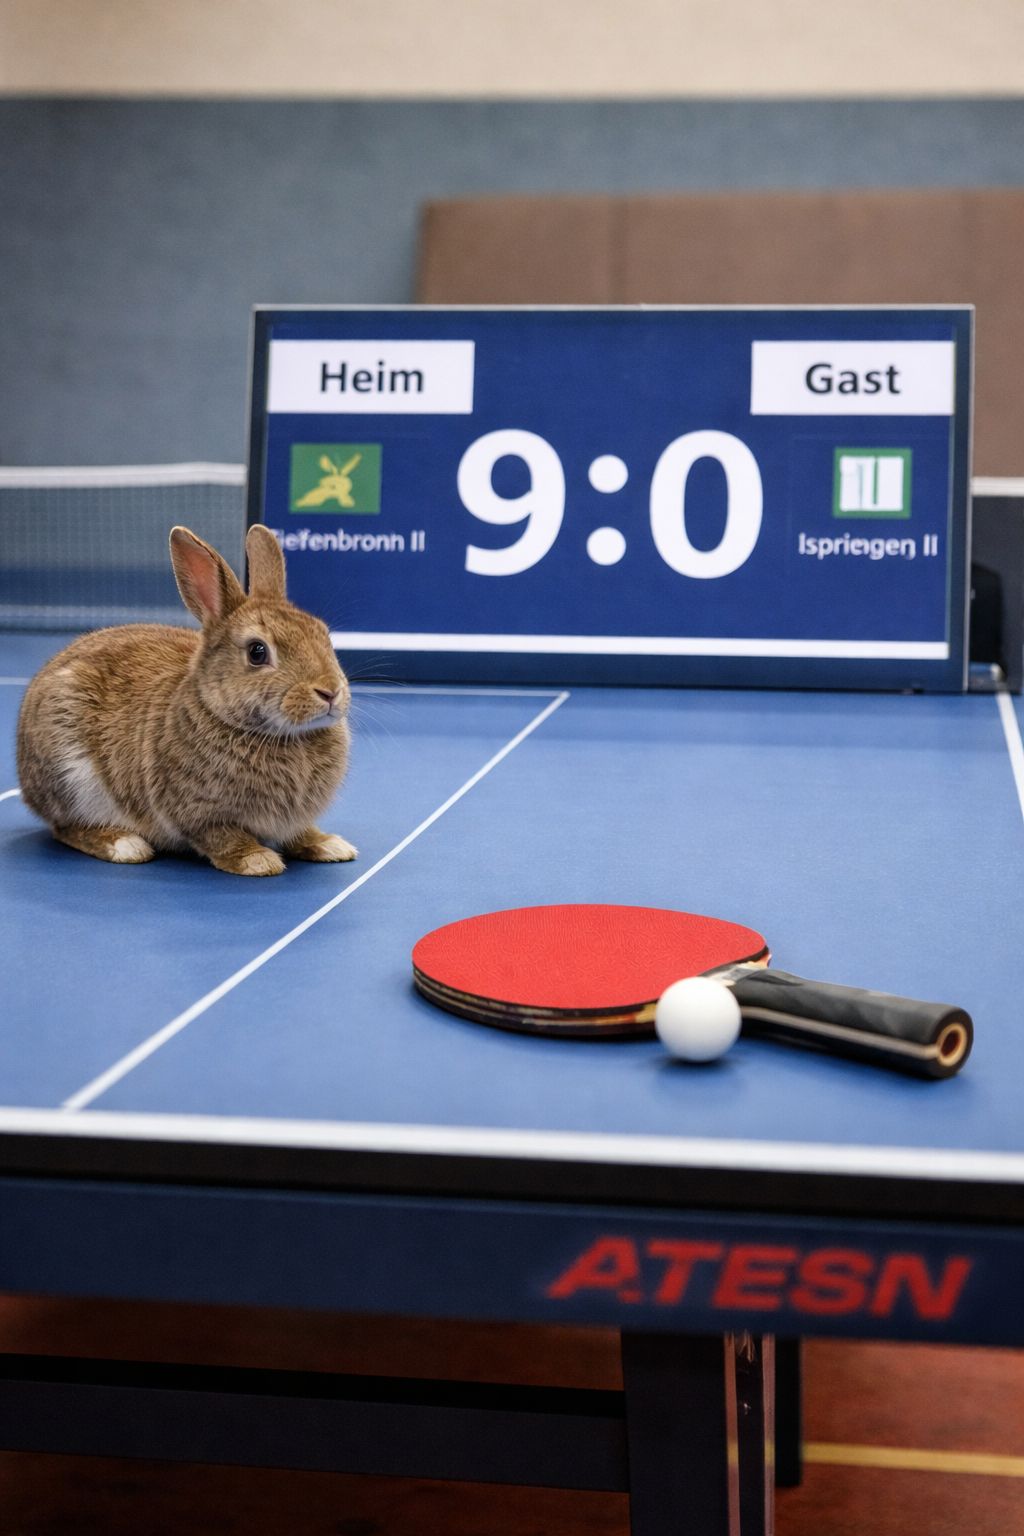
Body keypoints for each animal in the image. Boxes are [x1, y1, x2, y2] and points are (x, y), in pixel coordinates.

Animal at [16, 523, 357, 877]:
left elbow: (299, 832)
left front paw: (329, 845)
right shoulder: (198, 813)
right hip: (70, 776)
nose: (330, 691)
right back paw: (125, 845)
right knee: (65, 827)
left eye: (323, 634)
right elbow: (222, 837)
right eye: (257, 652)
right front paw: (256, 860)